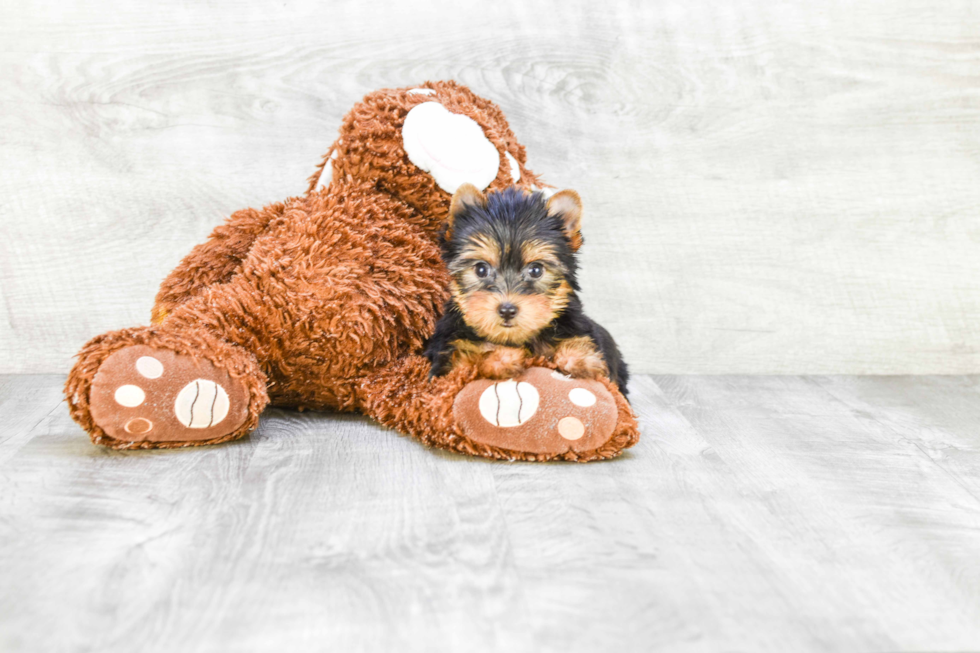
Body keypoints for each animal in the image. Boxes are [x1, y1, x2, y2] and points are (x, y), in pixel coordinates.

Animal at [424, 186, 628, 394]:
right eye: (481, 269)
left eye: (536, 270)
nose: (507, 310)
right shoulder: (446, 361)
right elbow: (466, 366)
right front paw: (502, 358)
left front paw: (579, 358)